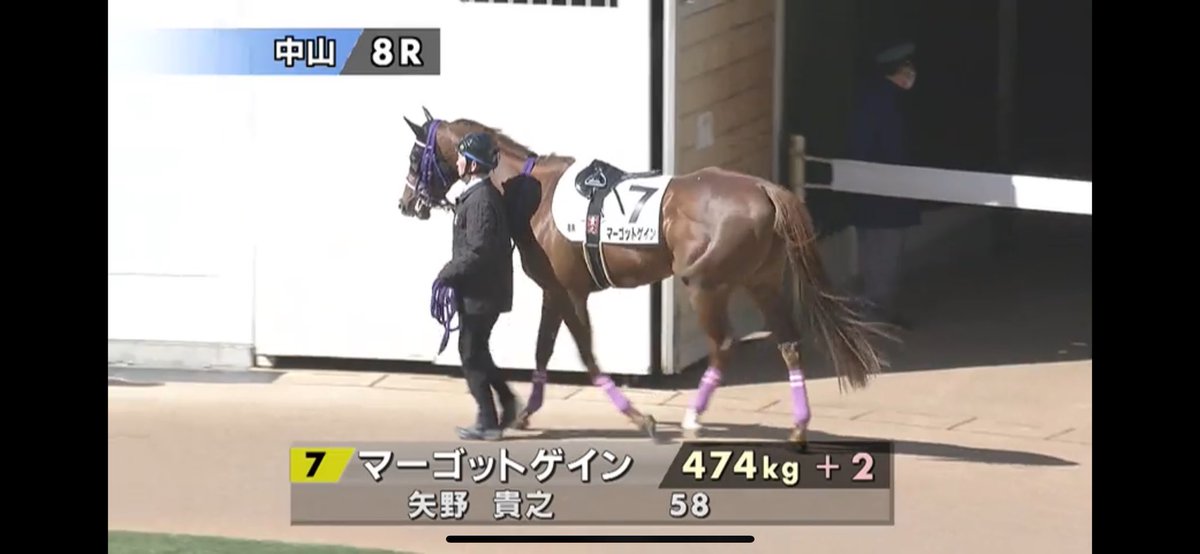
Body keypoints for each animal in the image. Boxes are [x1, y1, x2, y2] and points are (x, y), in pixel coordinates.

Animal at [396, 107, 894, 444]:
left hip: (705, 285)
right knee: (788, 342)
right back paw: (798, 426)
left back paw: (694, 418)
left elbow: (587, 357)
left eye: (416, 156)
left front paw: (642, 419)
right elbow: (542, 350)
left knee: (725, 344)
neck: (534, 192)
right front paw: (521, 412)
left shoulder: (571, 292)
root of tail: (766, 189)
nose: (405, 203)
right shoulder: (554, 291)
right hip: (762, 281)